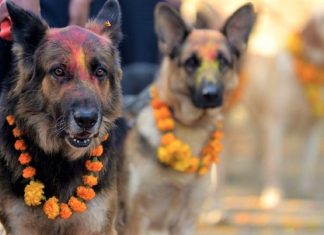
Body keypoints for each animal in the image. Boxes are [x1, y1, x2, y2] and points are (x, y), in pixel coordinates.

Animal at [0, 0, 126, 234]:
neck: (61, 158)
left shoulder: (96, 225)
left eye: (100, 72)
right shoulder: (21, 226)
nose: (86, 120)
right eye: (58, 71)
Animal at [126, 2, 256, 235]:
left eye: (223, 62)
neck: (190, 126)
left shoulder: (186, 220)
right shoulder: (136, 219)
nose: (210, 94)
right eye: (191, 63)